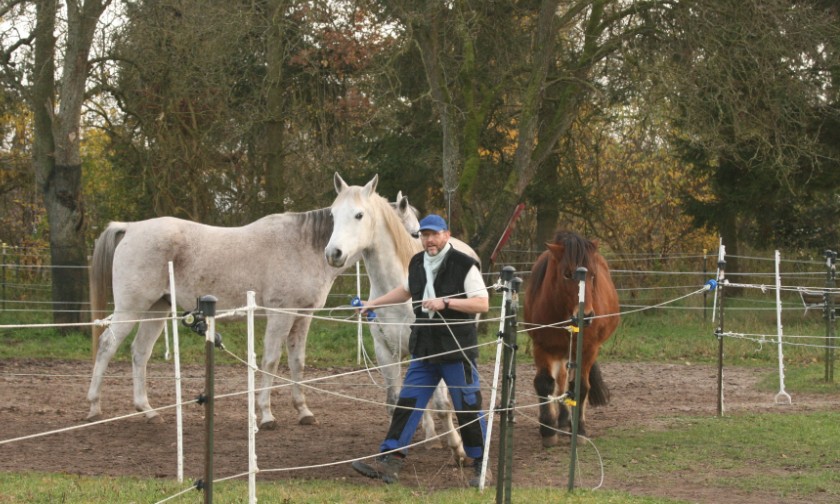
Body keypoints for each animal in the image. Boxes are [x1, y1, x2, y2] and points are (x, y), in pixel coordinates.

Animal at [85, 205, 410, 430]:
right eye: (407, 229)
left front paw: (303, 412)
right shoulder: (280, 315)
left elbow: (297, 362)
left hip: (157, 309)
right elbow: (271, 362)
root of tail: (130, 228)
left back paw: (148, 411)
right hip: (131, 308)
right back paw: (94, 408)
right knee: (107, 346)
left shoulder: (302, 317)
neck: (304, 246)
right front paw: (266, 415)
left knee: (139, 353)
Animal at [520, 229, 620, 444]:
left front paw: (580, 430)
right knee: (560, 382)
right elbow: (544, 383)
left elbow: (580, 387)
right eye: (566, 274)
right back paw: (563, 419)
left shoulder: (588, 350)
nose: (586, 316)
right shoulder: (542, 347)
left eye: (592, 275)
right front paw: (548, 429)